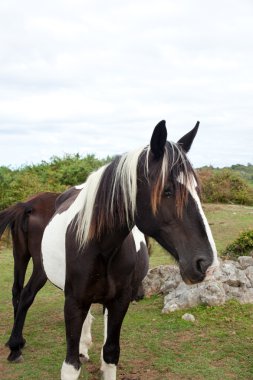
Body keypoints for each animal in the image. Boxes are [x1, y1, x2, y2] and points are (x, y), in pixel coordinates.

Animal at [0, 193, 148, 362]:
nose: (140, 295)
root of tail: (28, 205)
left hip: (20, 256)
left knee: (16, 292)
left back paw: (17, 342)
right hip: (40, 268)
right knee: (26, 294)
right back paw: (15, 347)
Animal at [40, 121, 218, 380]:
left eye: (196, 188)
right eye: (167, 190)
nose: (206, 264)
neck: (99, 247)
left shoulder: (120, 301)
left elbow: (111, 353)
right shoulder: (73, 302)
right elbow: (71, 364)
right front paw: (79, 351)